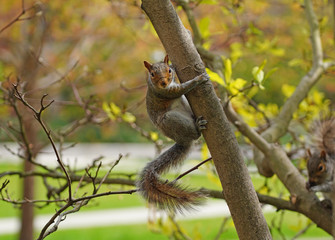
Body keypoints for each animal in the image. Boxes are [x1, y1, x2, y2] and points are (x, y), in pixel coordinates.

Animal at [138, 54, 209, 212]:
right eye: (152, 74)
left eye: (169, 70)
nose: (164, 82)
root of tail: (182, 140)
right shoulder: (166, 92)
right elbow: (182, 89)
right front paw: (199, 79)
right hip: (171, 120)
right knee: (195, 135)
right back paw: (197, 126)